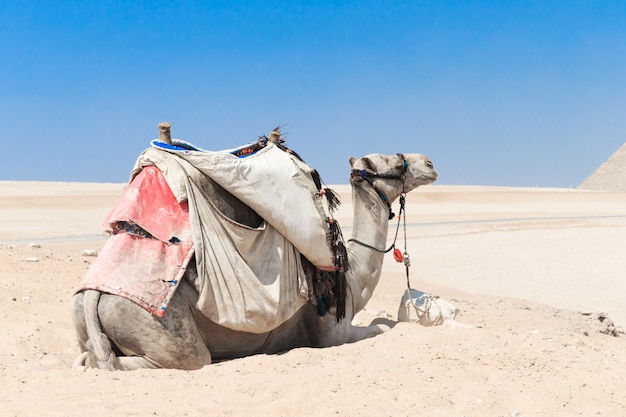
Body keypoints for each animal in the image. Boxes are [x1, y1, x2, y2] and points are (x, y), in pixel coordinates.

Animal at [70, 150, 436, 370]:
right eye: (393, 160)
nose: (430, 163)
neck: (351, 275)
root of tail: (93, 294)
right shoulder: (331, 333)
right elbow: (380, 327)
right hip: (158, 327)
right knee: (171, 361)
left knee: (89, 357)